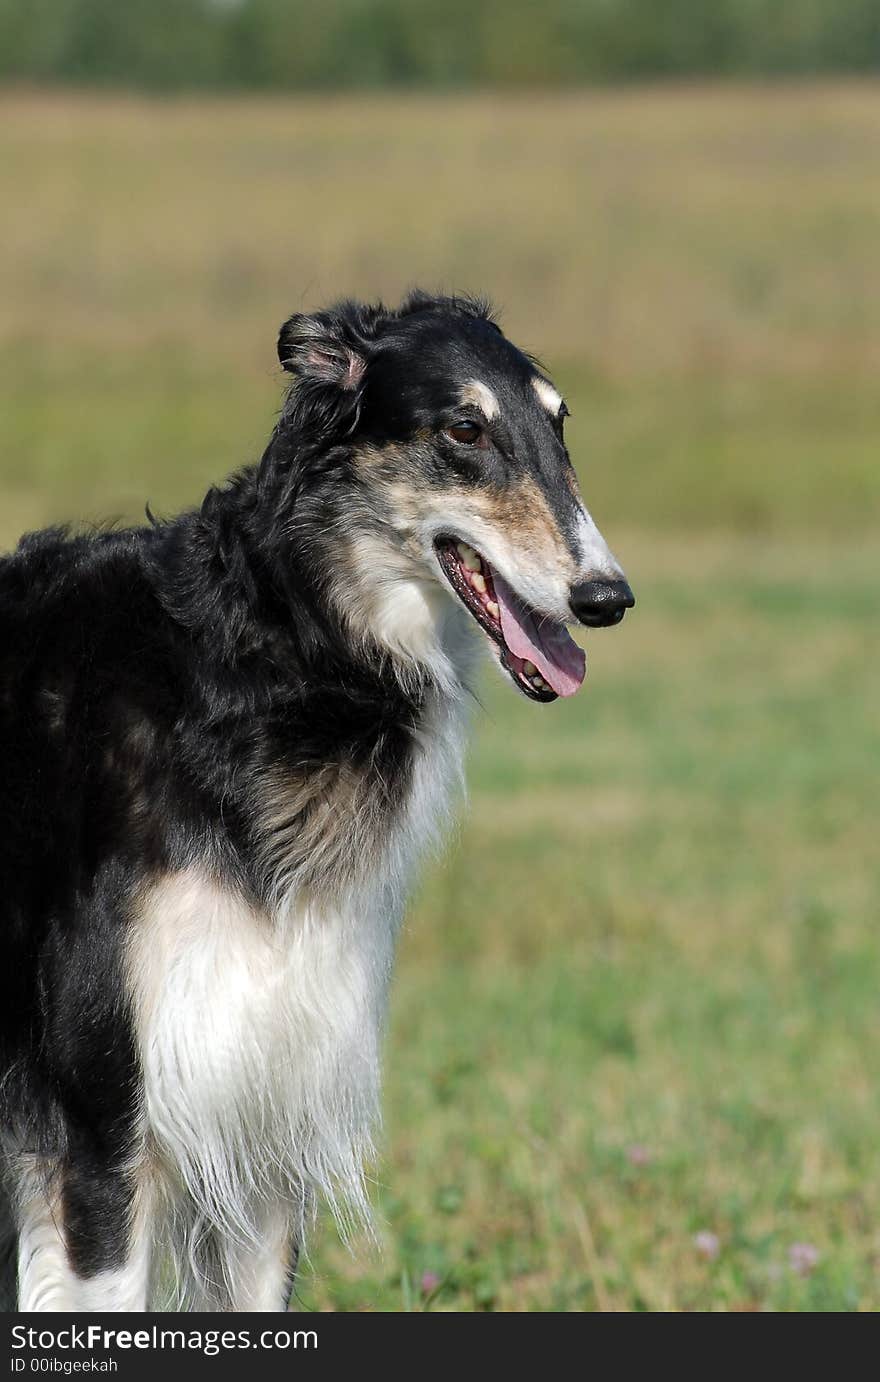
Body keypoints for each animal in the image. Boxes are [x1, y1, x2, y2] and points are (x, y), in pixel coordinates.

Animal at [0, 291, 632, 1304]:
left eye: (560, 423)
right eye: (464, 429)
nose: (608, 597)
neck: (269, 663)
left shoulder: (269, 1119)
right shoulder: (99, 1135)